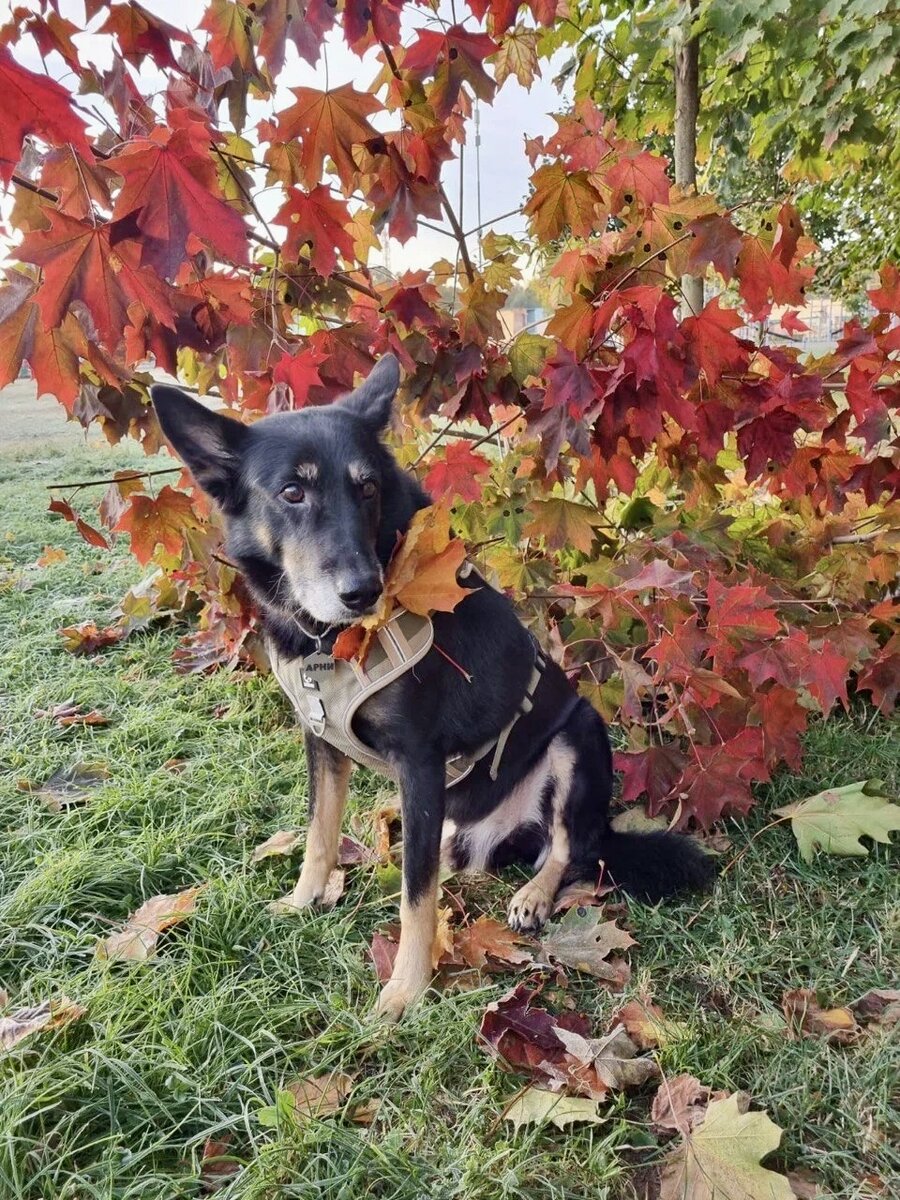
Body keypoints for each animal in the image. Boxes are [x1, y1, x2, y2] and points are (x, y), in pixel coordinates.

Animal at [154, 355, 720, 1022]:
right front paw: (302, 901)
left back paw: (533, 893)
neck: (327, 644)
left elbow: (415, 895)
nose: (363, 592)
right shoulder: (321, 742)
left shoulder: (419, 761)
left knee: (566, 848)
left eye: (368, 487)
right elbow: (320, 834)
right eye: (293, 492)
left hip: (578, 735)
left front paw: (406, 987)